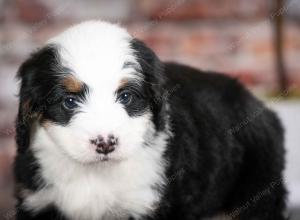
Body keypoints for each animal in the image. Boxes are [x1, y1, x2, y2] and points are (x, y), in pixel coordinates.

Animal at [15, 20, 288, 220]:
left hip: (258, 188)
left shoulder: (152, 204)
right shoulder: (36, 200)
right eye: (69, 101)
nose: (105, 143)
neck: (95, 174)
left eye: (126, 97)